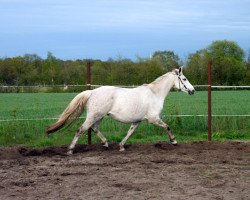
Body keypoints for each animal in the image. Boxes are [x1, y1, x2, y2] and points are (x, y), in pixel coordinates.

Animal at [47, 67, 195, 155]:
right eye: (184, 79)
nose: (193, 90)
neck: (154, 94)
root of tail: (92, 92)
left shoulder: (137, 121)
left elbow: (130, 132)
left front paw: (122, 146)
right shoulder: (153, 118)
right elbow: (167, 126)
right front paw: (174, 141)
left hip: (99, 116)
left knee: (94, 128)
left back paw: (106, 144)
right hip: (94, 116)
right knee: (81, 130)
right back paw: (70, 150)